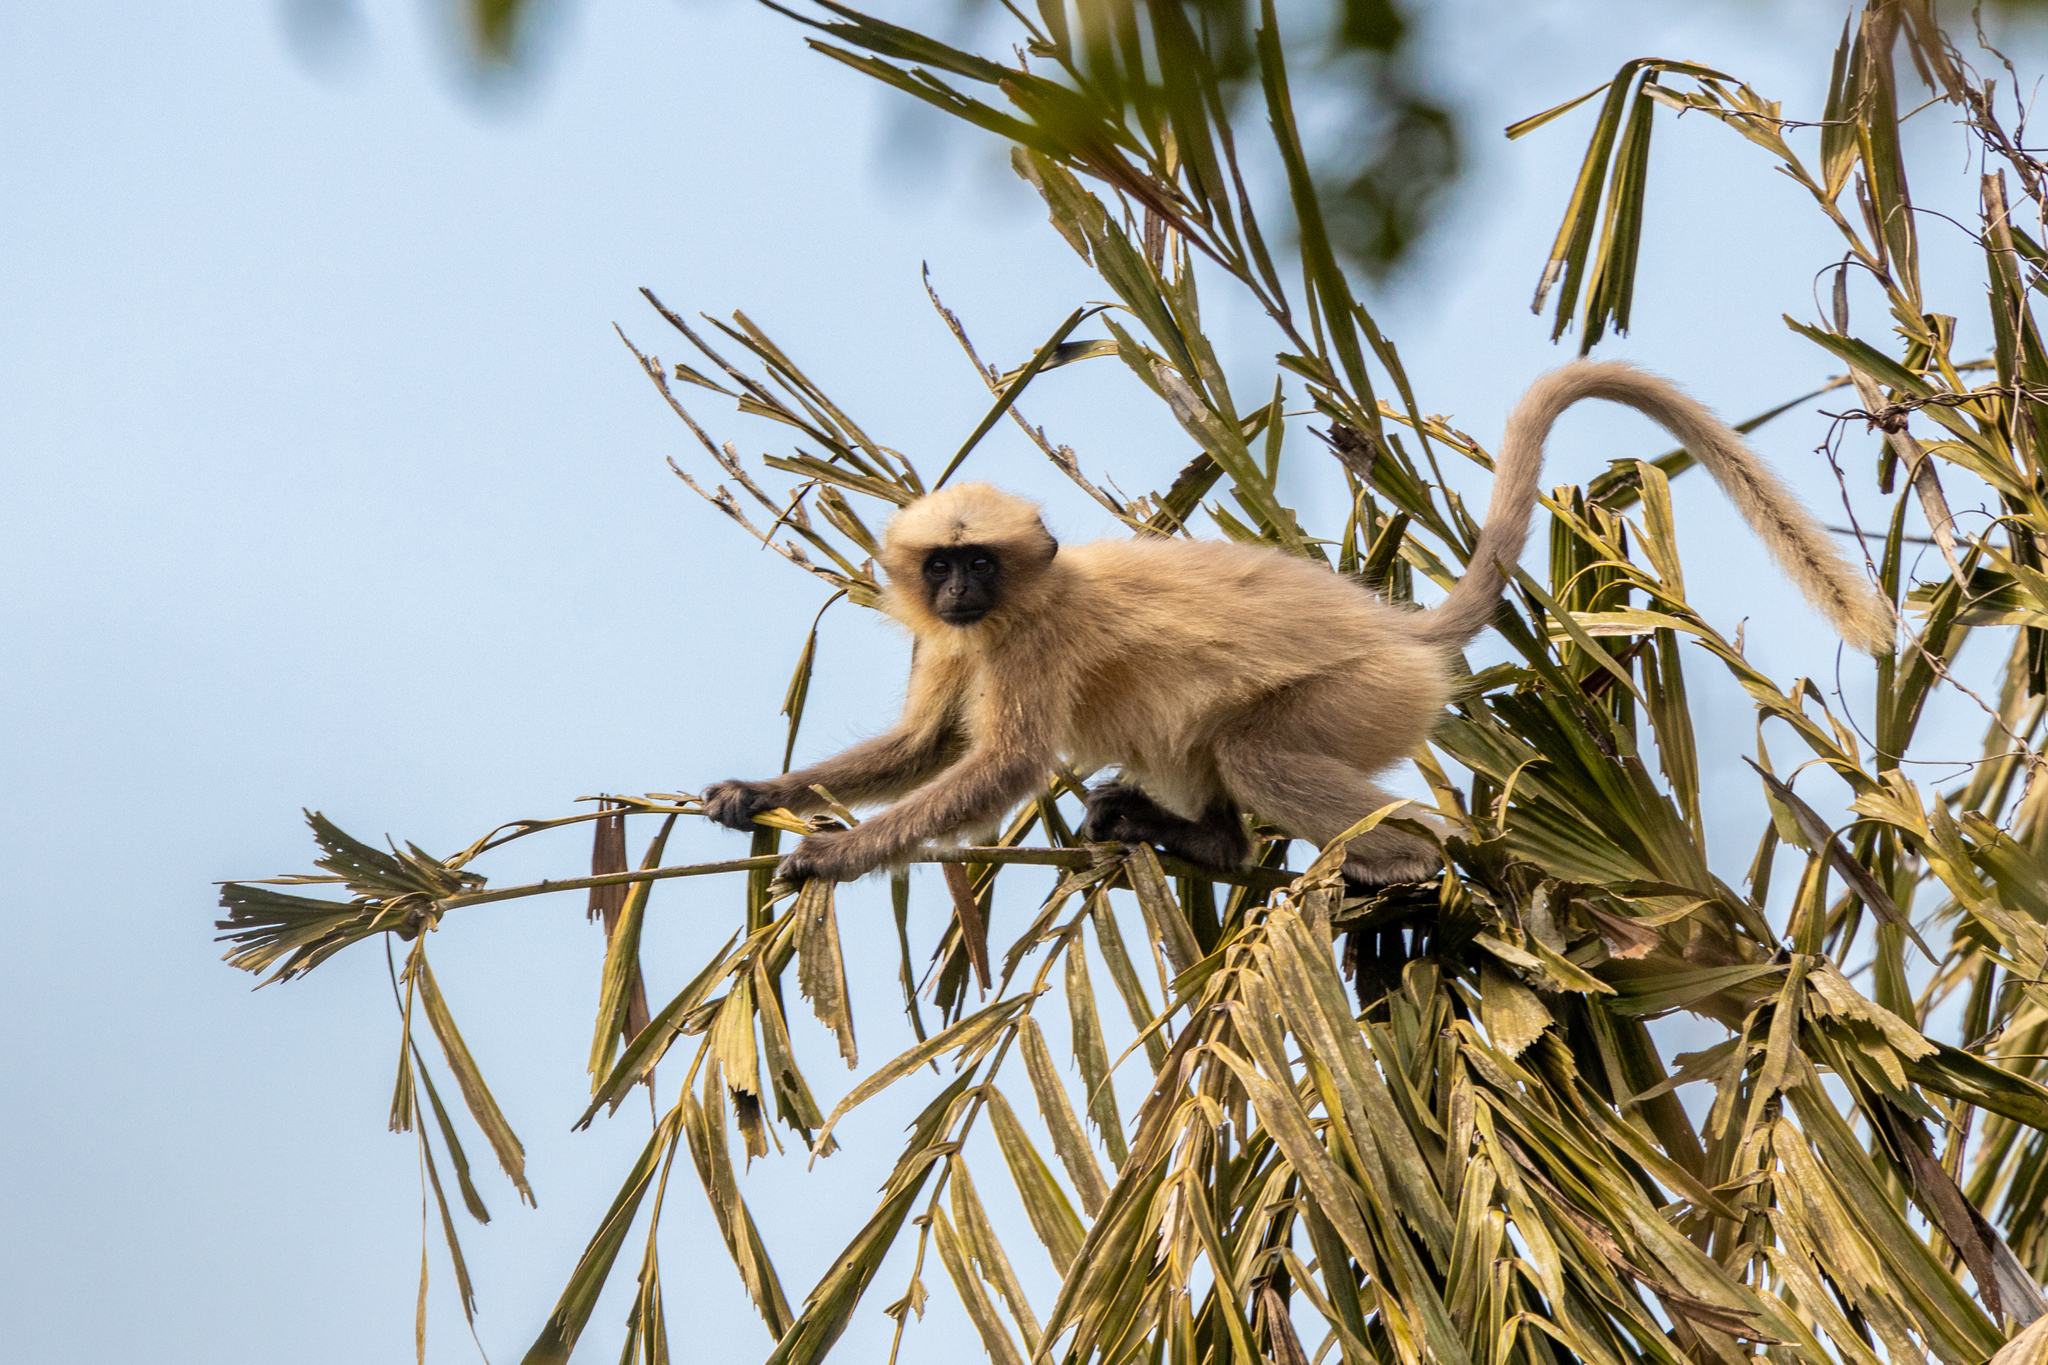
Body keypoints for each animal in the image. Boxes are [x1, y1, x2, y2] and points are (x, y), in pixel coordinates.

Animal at [700, 362, 1884, 892]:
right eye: (942, 565)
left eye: (978, 563)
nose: (955, 591)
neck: (1016, 604)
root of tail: (1399, 635)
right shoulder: (962, 640)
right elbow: (924, 746)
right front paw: (754, 794)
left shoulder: (1029, 636)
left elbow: (995, 768)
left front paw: (833, 855)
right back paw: (1211, 841)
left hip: (1366, 696)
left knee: (1254, 749)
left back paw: (1404, 857)